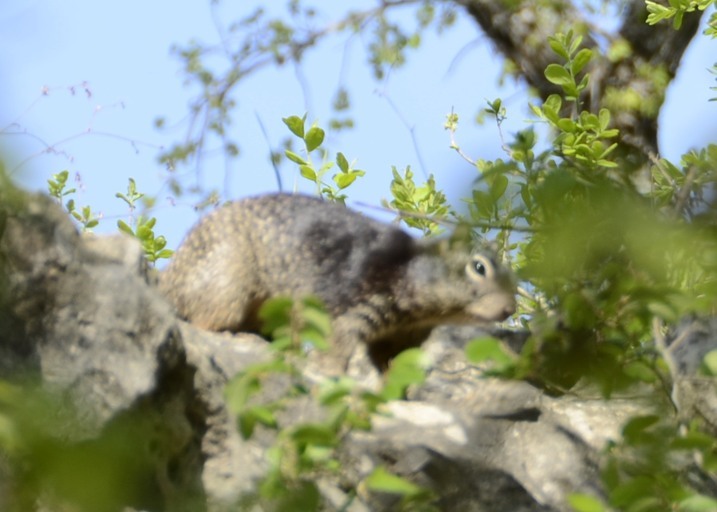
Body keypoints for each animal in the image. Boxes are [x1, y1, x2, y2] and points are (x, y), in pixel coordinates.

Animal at [158, 193, 516, 368]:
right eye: (479, 268)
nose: (511, 309)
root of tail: (169, 279)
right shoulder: (350, 310)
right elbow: (336, 349)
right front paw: (328, 370)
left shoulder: (400, 340)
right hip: (227, 284)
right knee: (204, 320)